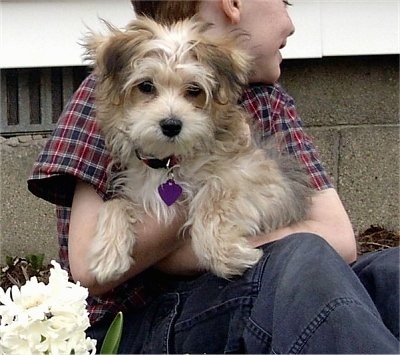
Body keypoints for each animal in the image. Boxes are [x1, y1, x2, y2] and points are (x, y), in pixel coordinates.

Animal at [83, 16, 310, 284]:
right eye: (146, 86)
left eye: (194, 90)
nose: (171, 125)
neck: (170, 162)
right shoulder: (140, 193)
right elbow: (115, 204)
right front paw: (108, 255)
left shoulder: (266, 180)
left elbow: (213, 194)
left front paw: (225, 255)